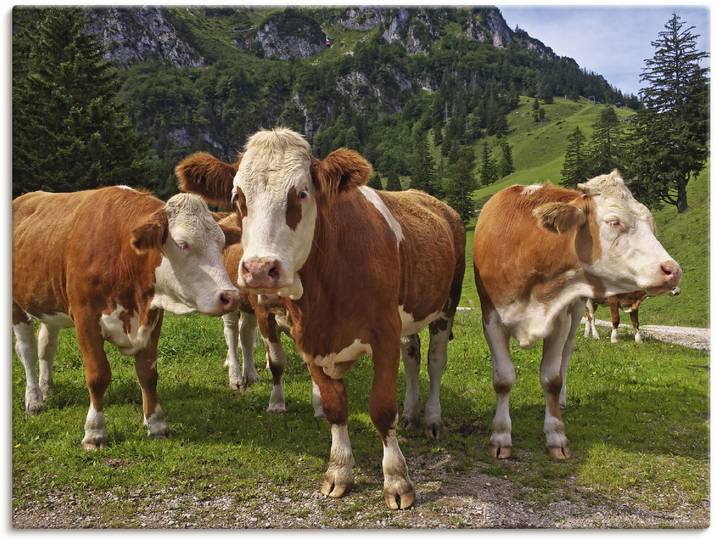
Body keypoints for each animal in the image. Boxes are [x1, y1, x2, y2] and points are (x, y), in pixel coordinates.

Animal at [12, 187, 242, 449]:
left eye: (221, 243)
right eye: (183, 244)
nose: (231, 296)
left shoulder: (153, 318)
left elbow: (148, 374)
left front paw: (156, 424)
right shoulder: (85, 318)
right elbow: (98, 375)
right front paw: (95, 432)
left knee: (46, 346)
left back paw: (46, 386)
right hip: (16, 305)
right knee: (27, 350)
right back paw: (34, 400)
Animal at [175, 128, 466, 510]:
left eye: (301, 192)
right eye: (238, 197)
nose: (259, 270)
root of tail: (436, 203)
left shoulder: (384, 334)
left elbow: (382, 407)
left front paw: (397, 481)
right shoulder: (309, 338)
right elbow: (333, 406)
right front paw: (339, 471)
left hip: (446, 305)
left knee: (435, 360)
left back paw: (431, 418)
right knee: (413, 355)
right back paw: (412, 414)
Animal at [473, 171, 682, 460]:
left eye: (650, 223)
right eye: (614, 221)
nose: (673, 271)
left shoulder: (560, 320)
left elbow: (551, 378)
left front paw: (556, 436)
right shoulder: (491, 319)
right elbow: (503, 379)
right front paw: (501, 436)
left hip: (576, 311)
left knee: (566, 355)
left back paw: (561, 400)